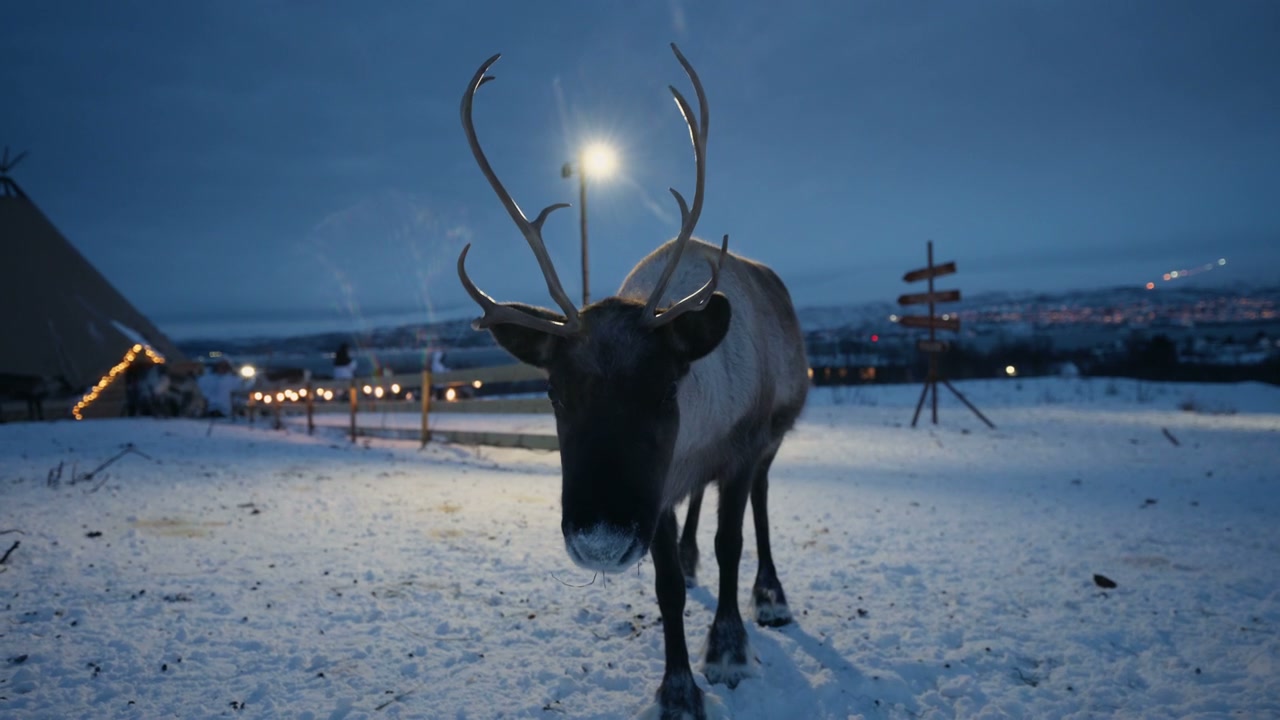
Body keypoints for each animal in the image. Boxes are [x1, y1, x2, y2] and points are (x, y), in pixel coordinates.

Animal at [455, 44, 809, 719]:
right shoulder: (662, 485)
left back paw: (771, 596)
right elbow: (667, 584)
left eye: (666, 391)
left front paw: (728, 650)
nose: (598, 542)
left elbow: (732, 541)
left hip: (774, 438)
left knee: (761, 503)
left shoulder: (739, 448)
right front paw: (677, 689)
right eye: (553, 394)